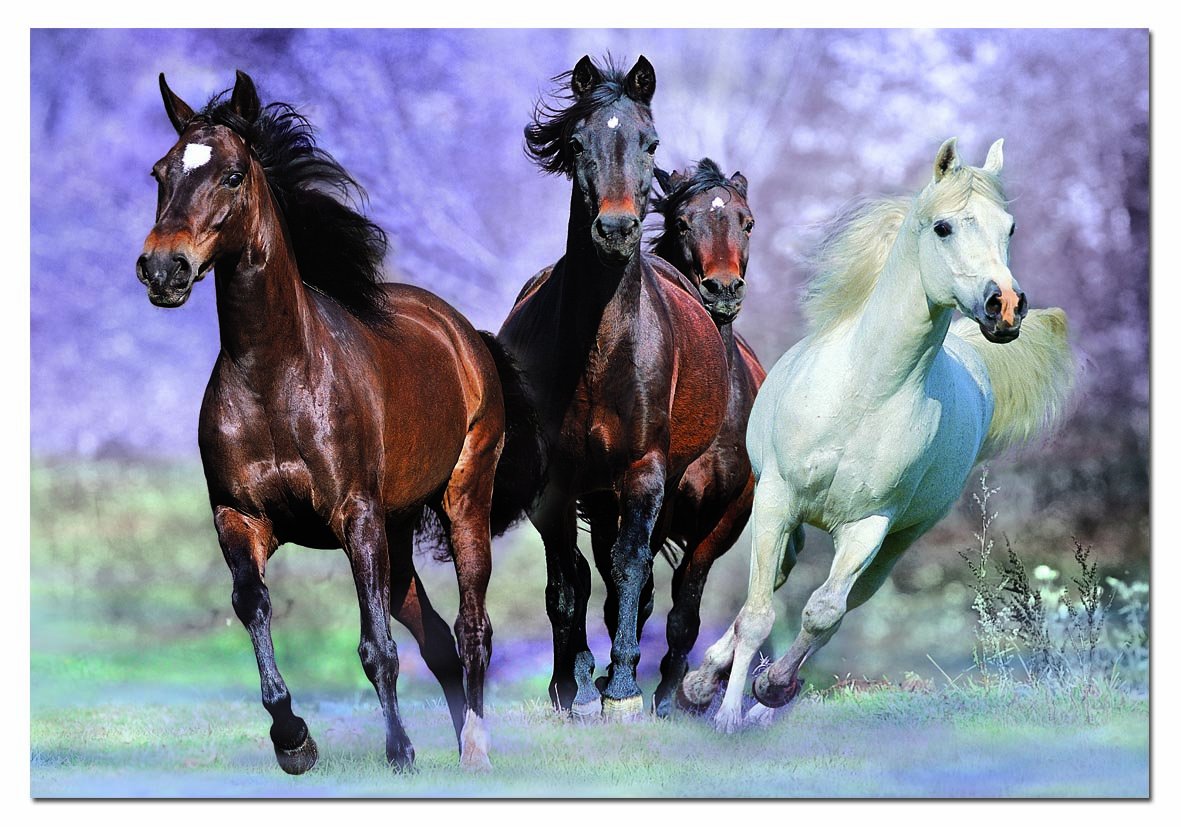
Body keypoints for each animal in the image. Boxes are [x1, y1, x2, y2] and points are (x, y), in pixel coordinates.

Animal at [136, 70, 539, 772]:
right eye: (161, 173)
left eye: (233, 175)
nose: (163, 269)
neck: (275, 379)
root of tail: (466, 335)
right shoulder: (241, 519)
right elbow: (253, 604)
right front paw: (293, 740)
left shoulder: (356, 517)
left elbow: (376, 646)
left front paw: (399, 751)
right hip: (397, 536)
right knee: (437, 638)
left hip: (461, 501)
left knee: (471, 628)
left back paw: (475, 750)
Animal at [498, 55, 730, 719]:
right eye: (578, 143)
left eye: (651, 143)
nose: (618, 230)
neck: (599, 350)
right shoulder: (555, 483)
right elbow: (564, 584)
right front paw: (570, 686)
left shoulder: (643, 470)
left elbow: (628, 569)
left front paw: (623, 689)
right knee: (582, 574)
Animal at [645, 158, 802, 717]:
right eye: (682, 222)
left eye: (747, 222)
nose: (723, 289)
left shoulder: (724, 519)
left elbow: (684, 614)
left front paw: (672, 697)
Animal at [681, 138, 1077, 732]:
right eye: (943, 227)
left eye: (1010, 227)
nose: (1005, 307)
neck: (866, 391)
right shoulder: (776, 500)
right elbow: (756, 615)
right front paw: (724, 713)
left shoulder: (870, 526)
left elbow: (824, 612)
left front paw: (770, 689)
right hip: (787, 517)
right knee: (774, 582)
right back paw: (703, 683)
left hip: (898, 540)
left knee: (845, 600)